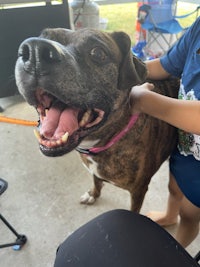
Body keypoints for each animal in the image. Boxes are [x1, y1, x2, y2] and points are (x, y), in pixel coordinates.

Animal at [15, 28, 178, 213]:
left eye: (98, 53)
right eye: (45, 37)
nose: (35, 50)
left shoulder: (138, 191)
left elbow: (133, 209)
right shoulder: (94, 171)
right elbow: (96, 181)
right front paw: (93, 194)